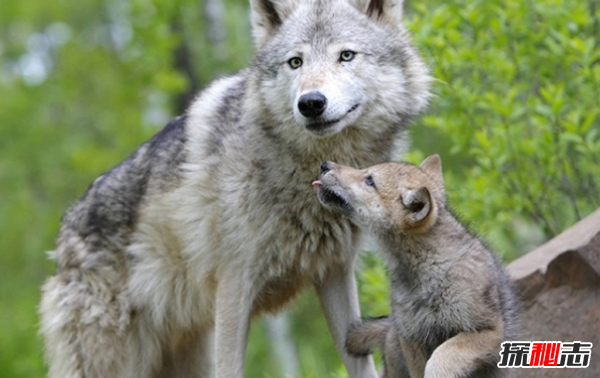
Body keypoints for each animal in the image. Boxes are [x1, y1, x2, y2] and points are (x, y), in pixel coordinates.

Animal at [38, 1, 432, 376]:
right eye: (295, 62)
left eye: (346, 55)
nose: (310, 103)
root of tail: (63, 235)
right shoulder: (233, 286)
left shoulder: (334, 273)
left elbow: (359, 362)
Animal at [314, 154, 520, 378]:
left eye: (369, 180)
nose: (324, 165)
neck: (428, 269)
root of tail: (390, 326)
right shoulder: (412, 338)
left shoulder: (488, 331)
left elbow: (442, 355)